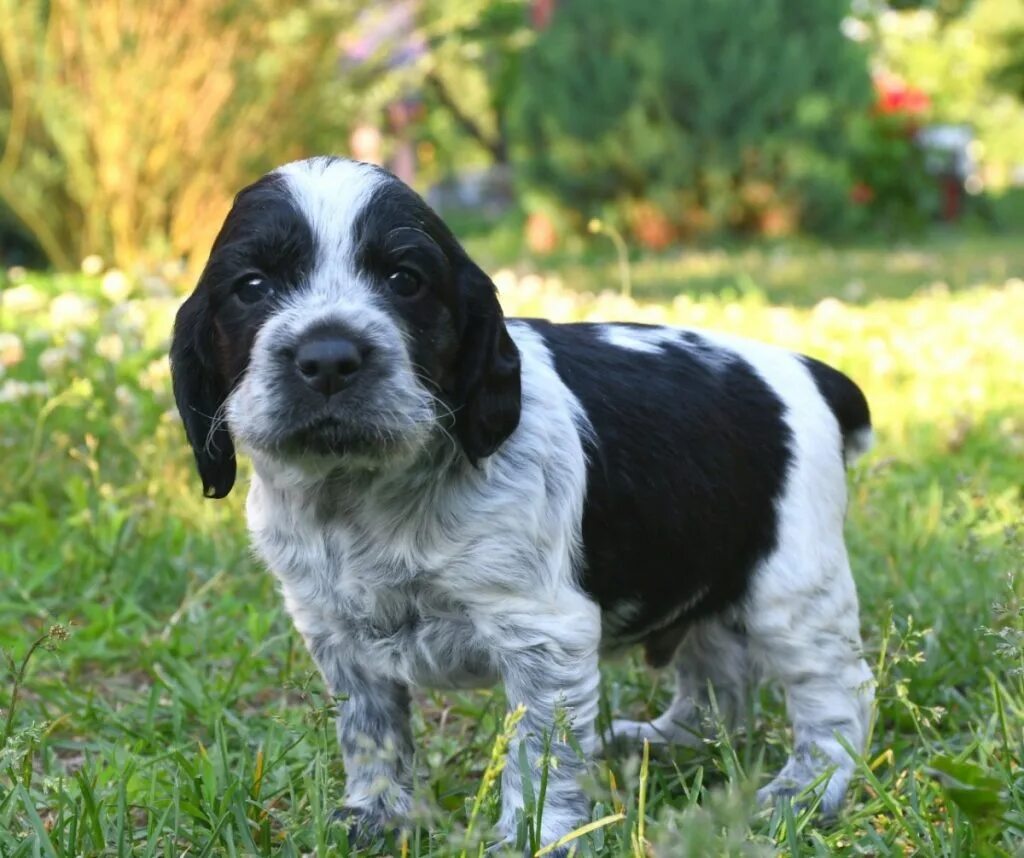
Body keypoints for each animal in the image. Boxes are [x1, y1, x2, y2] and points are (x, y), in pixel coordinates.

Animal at [167, 157, 872, 855]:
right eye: (252, 286)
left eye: (405, 280)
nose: (329, 358)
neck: (362, 491)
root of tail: (813, 370)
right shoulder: (334, 631)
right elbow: (371, 733)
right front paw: (375, 817)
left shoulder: (543, 635)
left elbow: (539, 755)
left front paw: (535, 837)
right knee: (719, 678)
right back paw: (664, 742)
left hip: (794, 590)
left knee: (840, 697)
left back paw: (803, 792)